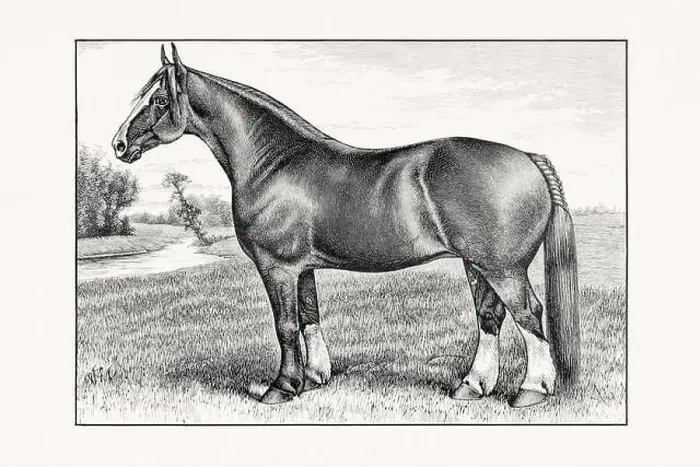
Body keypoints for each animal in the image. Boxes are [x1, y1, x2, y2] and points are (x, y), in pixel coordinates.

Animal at [113, 44, 580, 408]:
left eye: (159, 100)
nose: (119, 144)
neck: (274, 162)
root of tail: (528, 158)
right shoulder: (301, 269)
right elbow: (309, 318)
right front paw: (315, 378)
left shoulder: (277, 268)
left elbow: (285, 327)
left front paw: (282, 388)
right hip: (477, 264)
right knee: (490, 317)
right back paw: (472, 386)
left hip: (504, 268)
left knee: (529, 314)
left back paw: (532, 390)